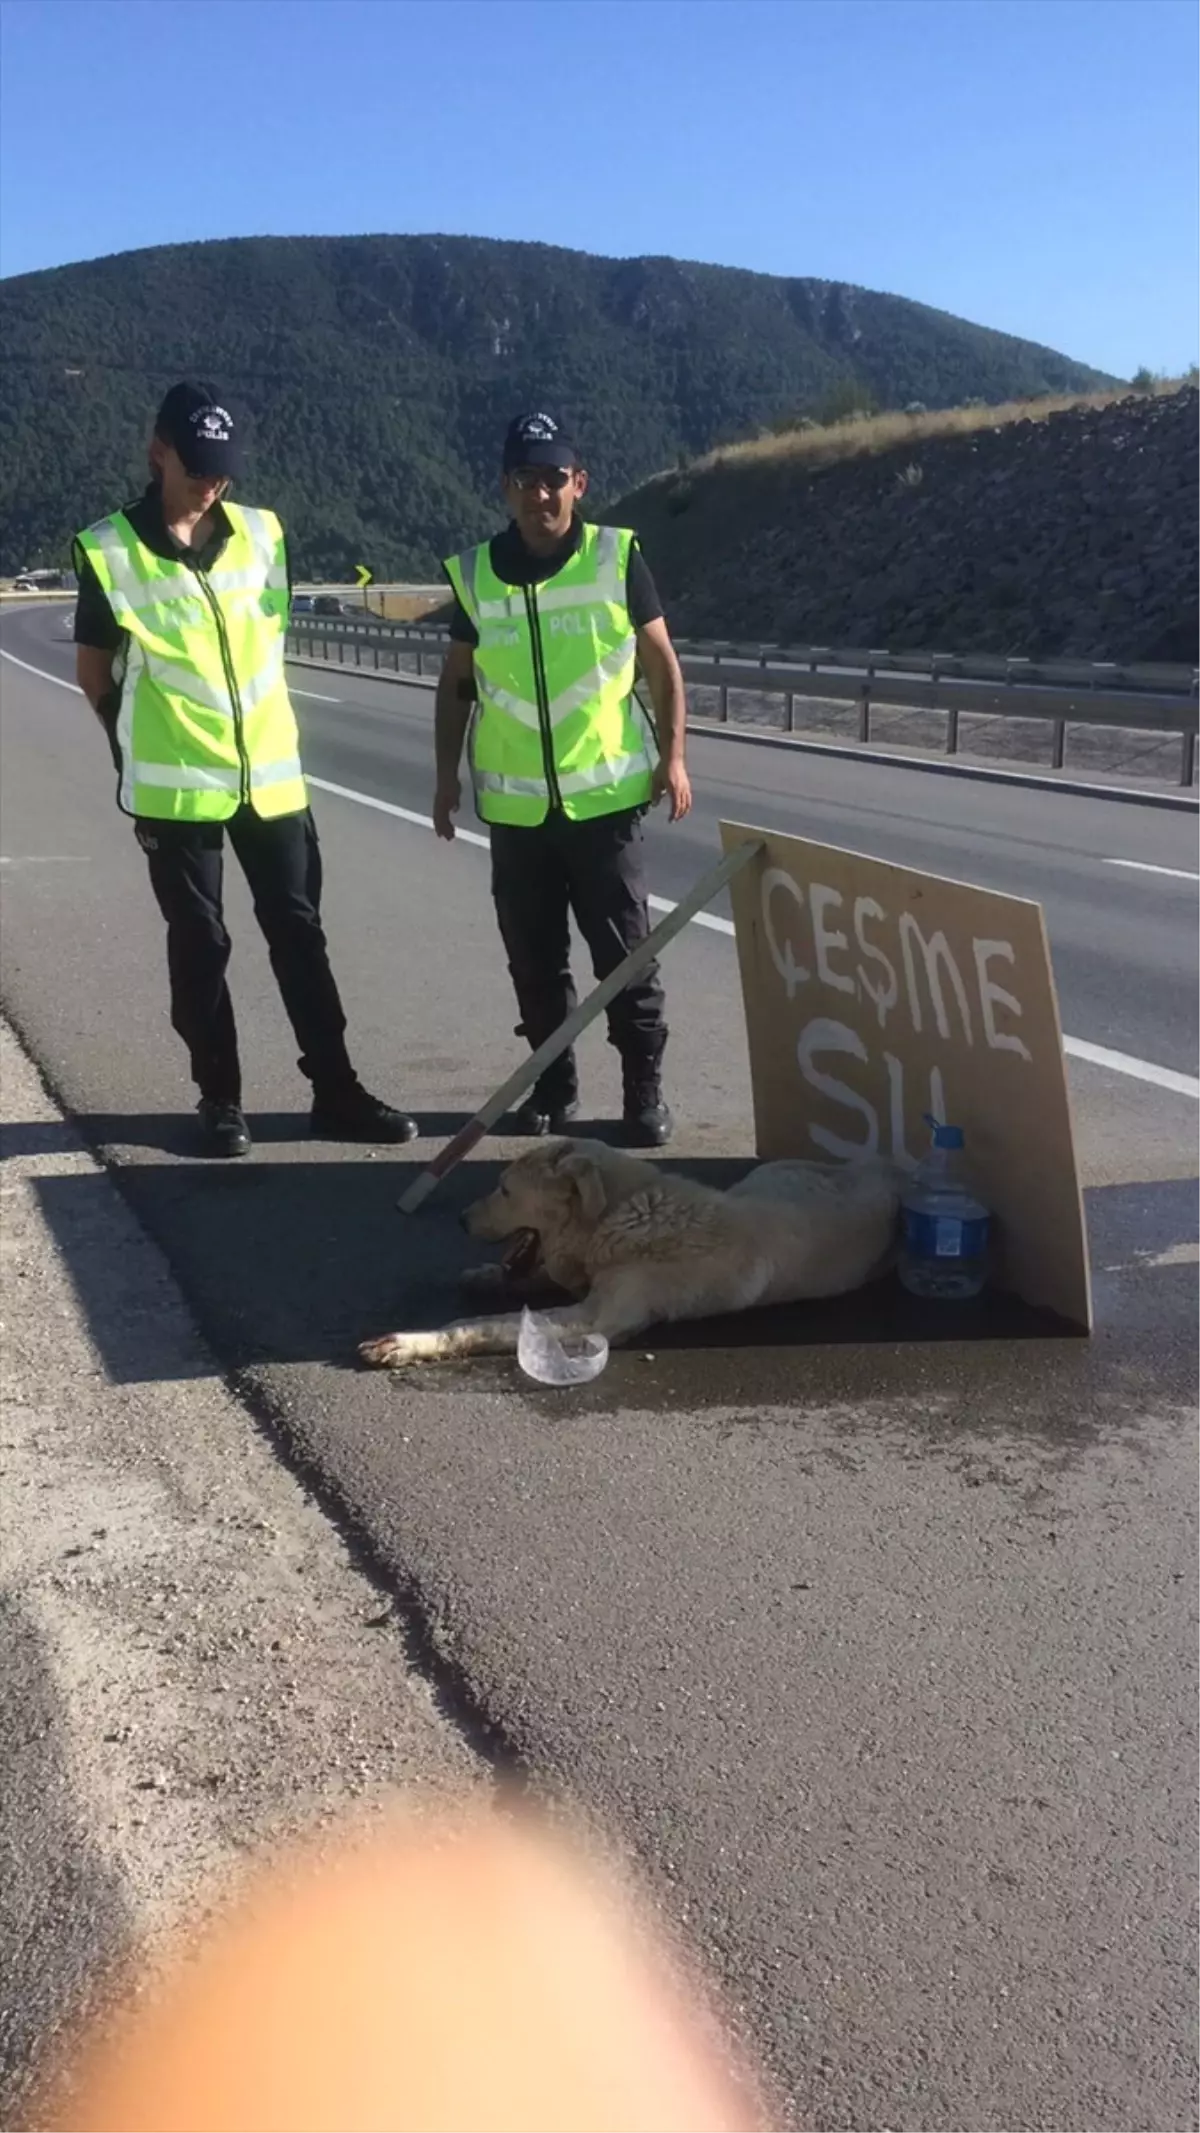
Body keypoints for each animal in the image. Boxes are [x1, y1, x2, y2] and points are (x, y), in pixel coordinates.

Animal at [360, 1143, 903, 1373]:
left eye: (504, 1189)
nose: (461, 1220)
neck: (620, 1213)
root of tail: (885, 1169)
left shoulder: (594, 1316)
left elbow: (484, 1324)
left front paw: (413, 1342)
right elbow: (532, 1278)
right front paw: (485, 1276)